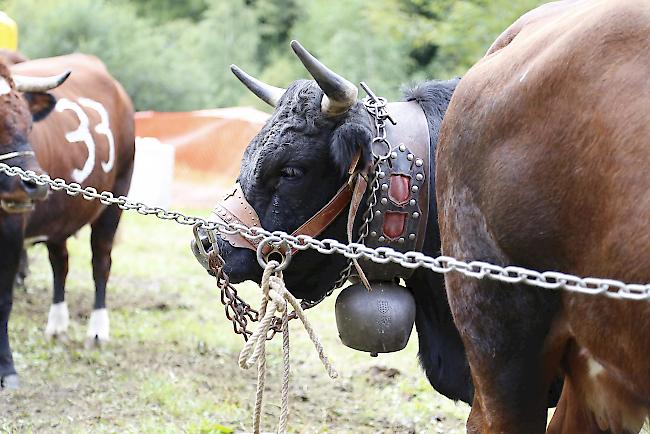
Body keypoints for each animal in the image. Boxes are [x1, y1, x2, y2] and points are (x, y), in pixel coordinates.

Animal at [0, 54, 134, 386]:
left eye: (28, 122)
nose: (35, 183)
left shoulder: (12, 229)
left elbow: (4, 300)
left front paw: (7, 369)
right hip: (59, 219)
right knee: (60, 264)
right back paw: (58, 326)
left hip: (115, 199)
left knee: (101, 262)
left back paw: (97, 332)